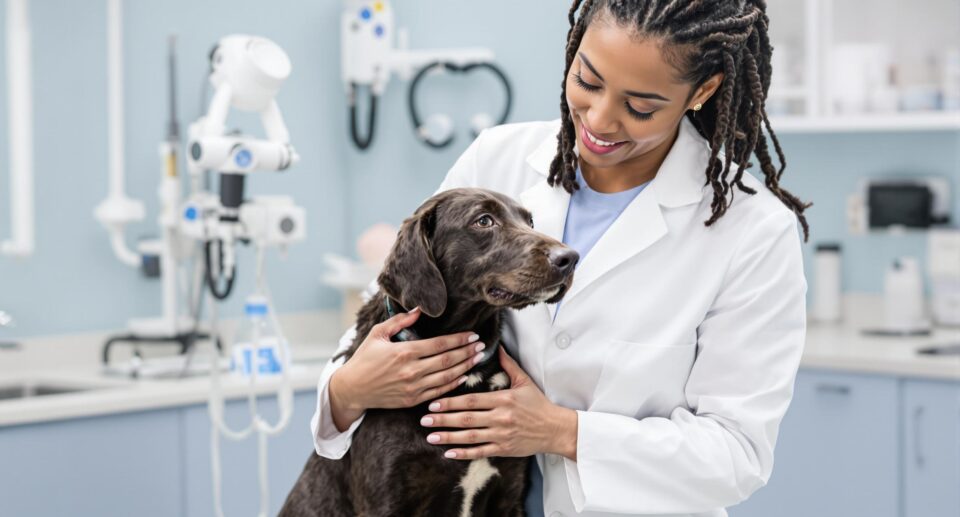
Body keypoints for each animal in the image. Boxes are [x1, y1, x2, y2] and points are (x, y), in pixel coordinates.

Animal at [278, 189, 576, 516]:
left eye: (529, 221)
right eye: (484, 220)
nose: (569, 258)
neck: (467, 376)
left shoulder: (509, 495)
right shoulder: (386, 500)